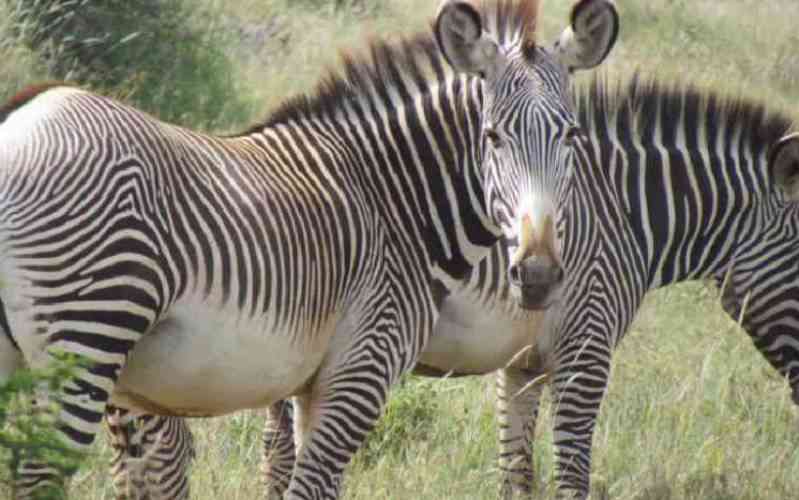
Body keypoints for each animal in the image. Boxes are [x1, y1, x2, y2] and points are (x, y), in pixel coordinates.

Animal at [0, 0, 619, 498]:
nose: (537, 276)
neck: (393, 201)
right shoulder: (361, 368)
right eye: (491, 136)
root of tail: (23, 114)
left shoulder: (312, 388)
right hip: (87, 337)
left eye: (572, 135)